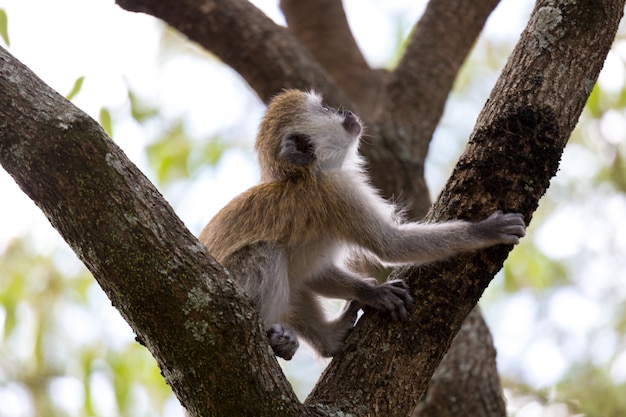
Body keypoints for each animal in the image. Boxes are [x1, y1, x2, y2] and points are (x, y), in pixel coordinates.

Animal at [197, 89, 524, 360]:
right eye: (325, 108)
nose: (346, 111)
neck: (307, 173)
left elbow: (314, 273)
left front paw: (369, 292)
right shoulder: (339, 192)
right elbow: (391, 245)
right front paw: (484, 231)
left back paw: (328, 340)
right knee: (268, 253)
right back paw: (269, 333)